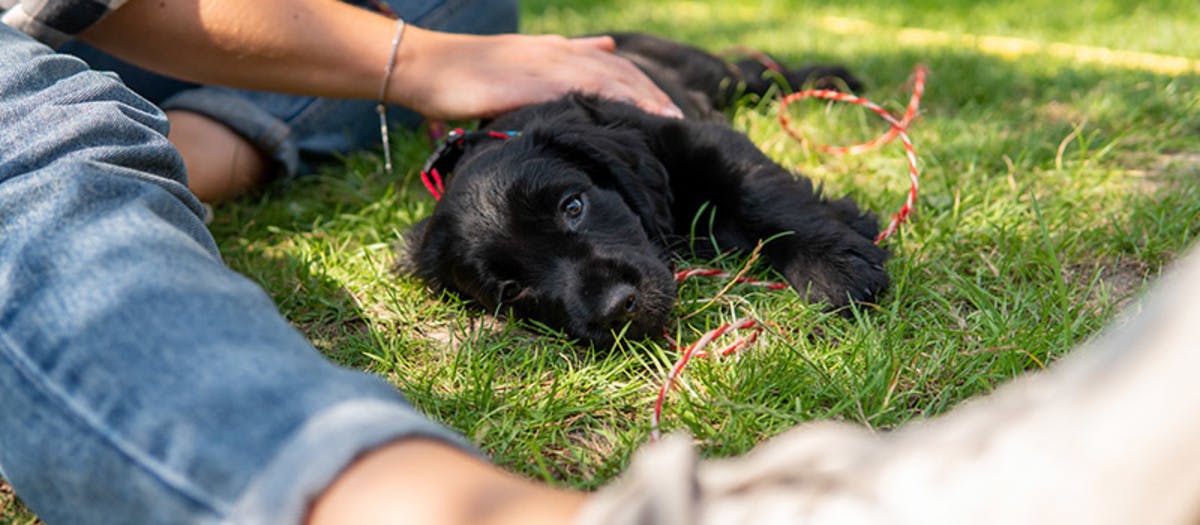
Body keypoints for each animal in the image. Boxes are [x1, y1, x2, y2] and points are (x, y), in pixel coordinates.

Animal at [408, 33, 888, 345]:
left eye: (573, 206)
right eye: (510, 291)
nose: (617, 308)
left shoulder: (700, 139)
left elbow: (759, 194)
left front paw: (837, 269)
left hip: (712, 74)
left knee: (760, 73)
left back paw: (835, 78)